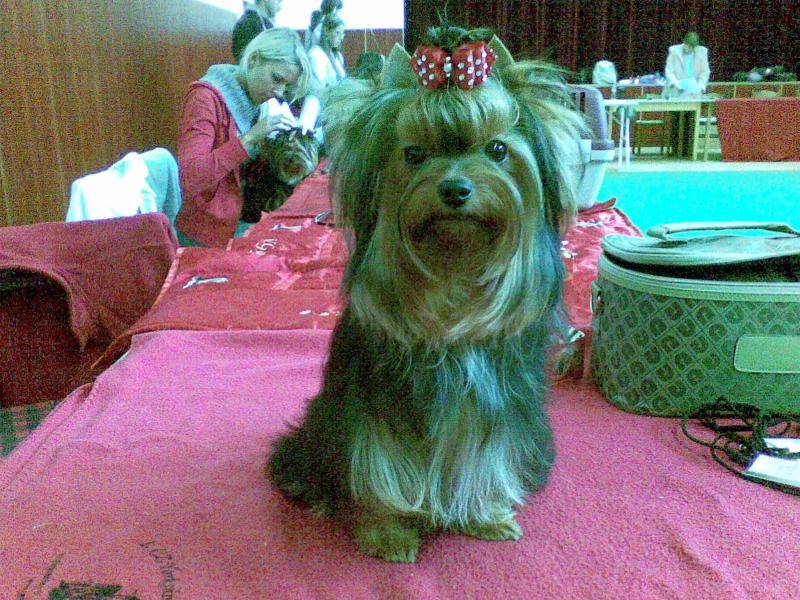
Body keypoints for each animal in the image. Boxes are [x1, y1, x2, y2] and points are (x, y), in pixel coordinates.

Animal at [268, 26, 584, 563]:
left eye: (497, 150)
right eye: (414, 154)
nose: (456, 189)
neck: (452, 273)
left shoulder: (493, 403)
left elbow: (483, 455)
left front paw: (485, 516)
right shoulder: (373, 404)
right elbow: (380, 459)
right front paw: (388, 532)